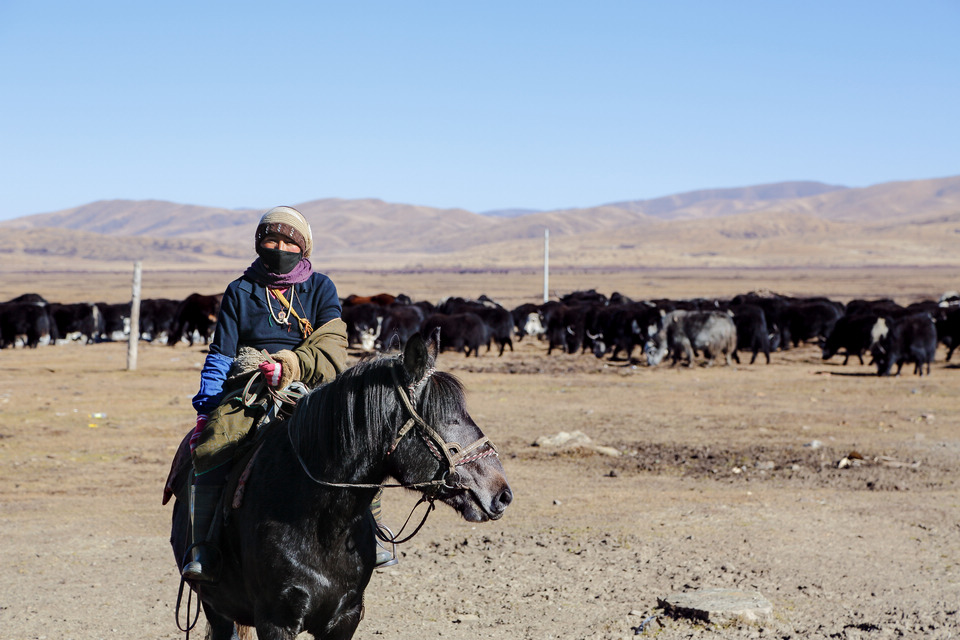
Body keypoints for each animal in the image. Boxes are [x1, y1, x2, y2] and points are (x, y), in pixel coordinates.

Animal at [167, 336, 510, 640]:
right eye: (448, 419)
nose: (502, 493)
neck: (322, 522)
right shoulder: (275, 621)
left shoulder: (346, 618)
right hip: (215, 605)